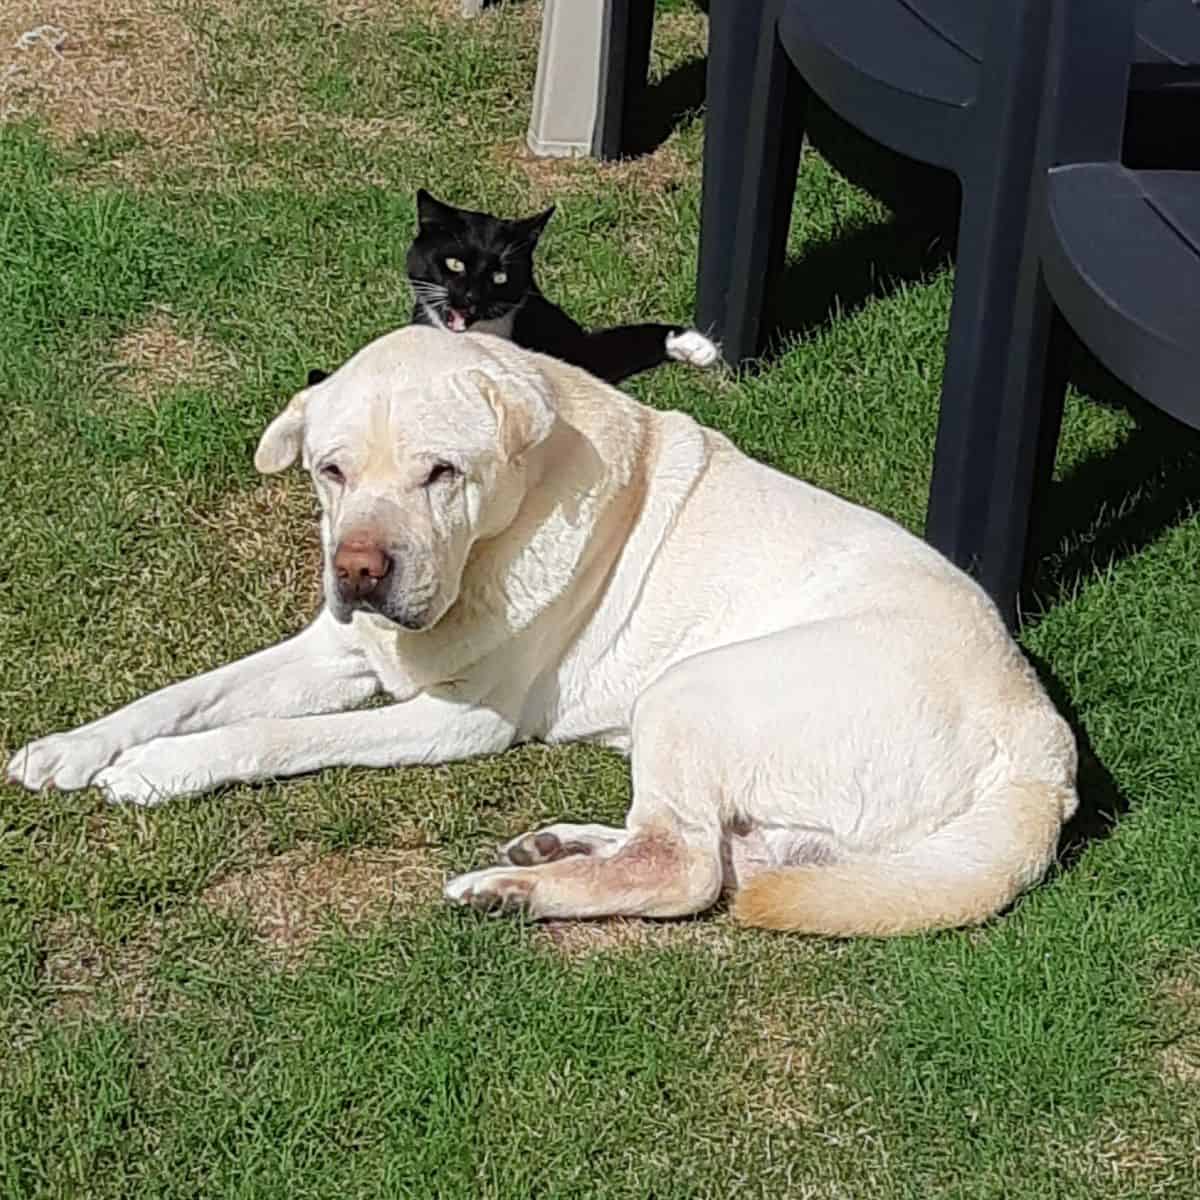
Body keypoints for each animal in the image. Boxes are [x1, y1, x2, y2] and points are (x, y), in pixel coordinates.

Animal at [7, 328, 1080, 936]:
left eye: (441, 473)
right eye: (329, 471)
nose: (360, 569)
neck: (489, 549)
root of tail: (1044, 744)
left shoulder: (458, 719)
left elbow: (275, 735)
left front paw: (164, 770)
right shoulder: (338, 647)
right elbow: (187, 692)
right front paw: (76, 747)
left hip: (693, 689)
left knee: (686, 868)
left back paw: (518, 892)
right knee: (721, 852)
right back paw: (556, 850)